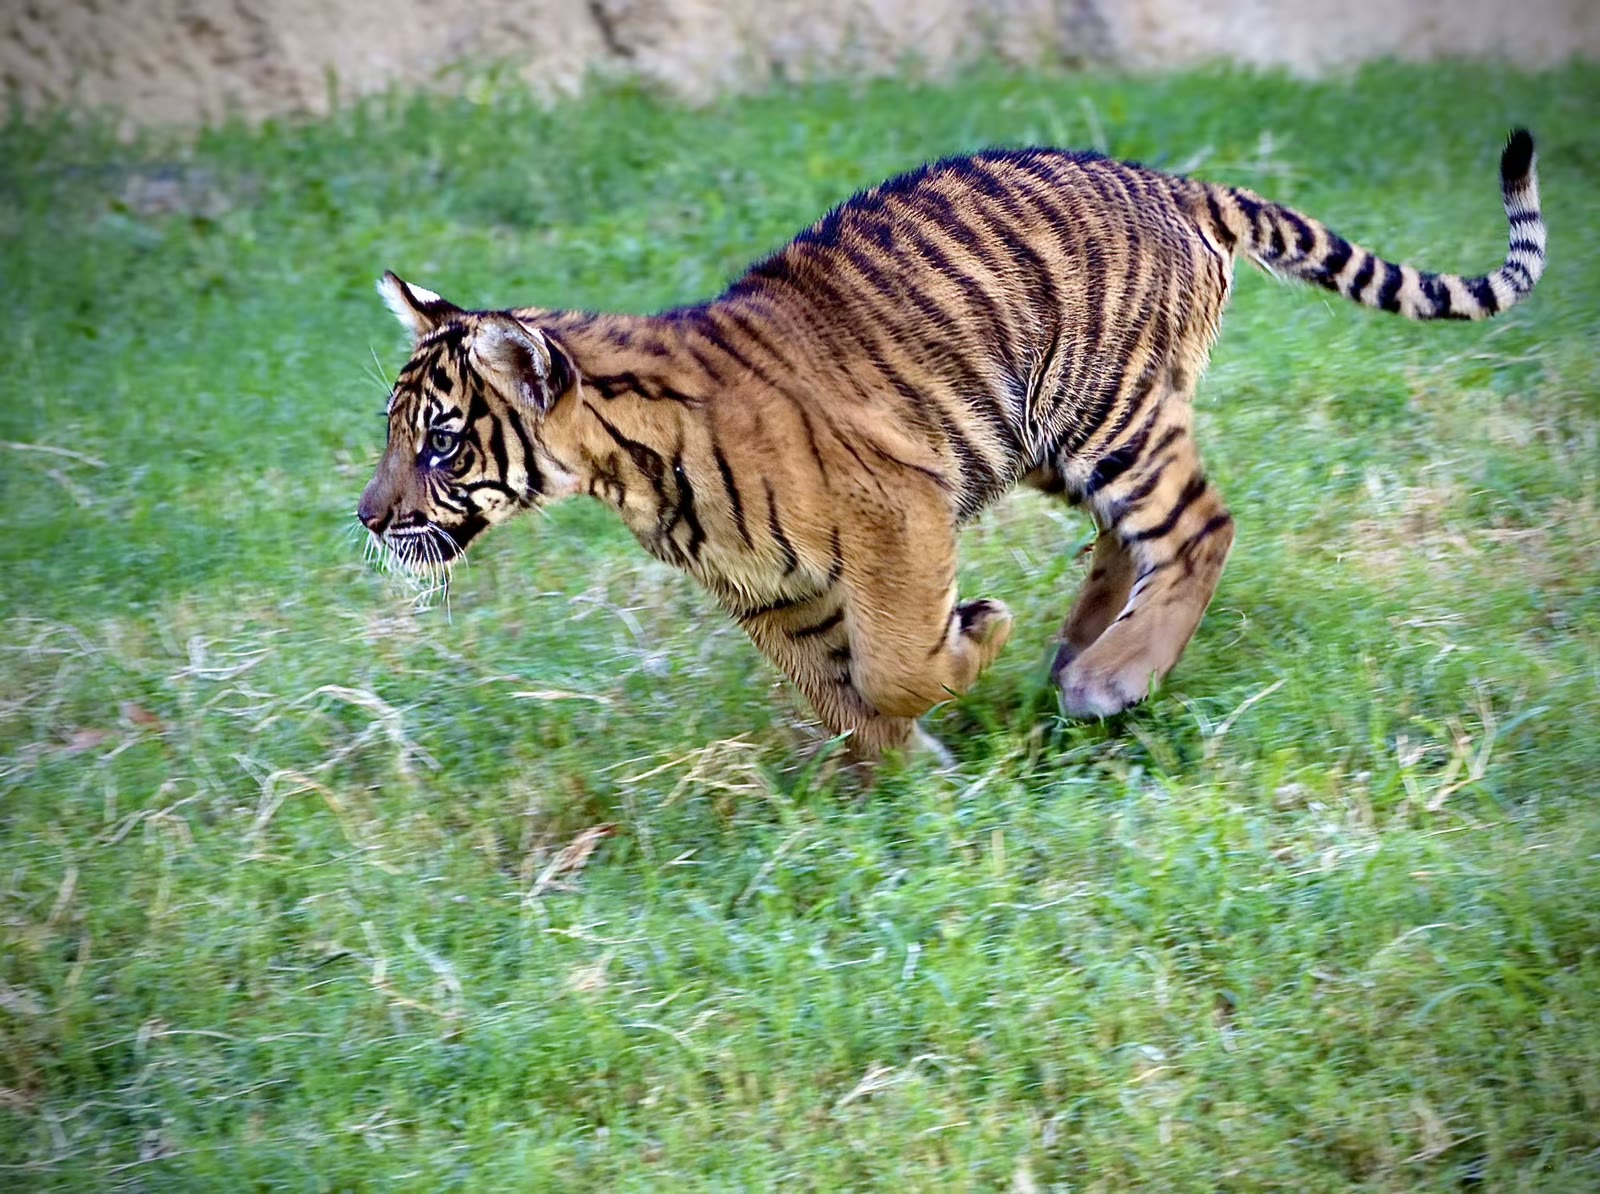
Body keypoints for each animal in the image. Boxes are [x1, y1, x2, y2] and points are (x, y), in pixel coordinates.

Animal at [358, 129, 1545, 760]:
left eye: (442, 445)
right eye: (395, 438)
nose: (367, 520)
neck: (628, 473)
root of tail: (1174, 181)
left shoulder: (897, 514)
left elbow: (889, 668)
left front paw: (973, 641)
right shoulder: (769, 594)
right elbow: (841, 699)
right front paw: (908, 781)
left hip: (1103, 410)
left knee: (1199, 526)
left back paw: (1107, 675)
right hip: (1055, 436)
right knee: (1128, 539)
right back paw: (1081, 649)